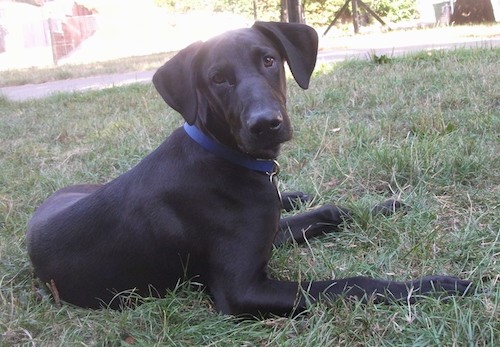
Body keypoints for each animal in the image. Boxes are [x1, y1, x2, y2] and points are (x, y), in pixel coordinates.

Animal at [26, 21, 472, 316]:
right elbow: (348, 284)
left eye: (270, 60)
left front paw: (382, 206)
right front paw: (433, 285)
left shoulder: (269, 232)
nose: (265, 124)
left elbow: (331, 210)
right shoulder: (241, 290)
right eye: (218, 79)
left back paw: (294, 193)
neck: (228, 158)